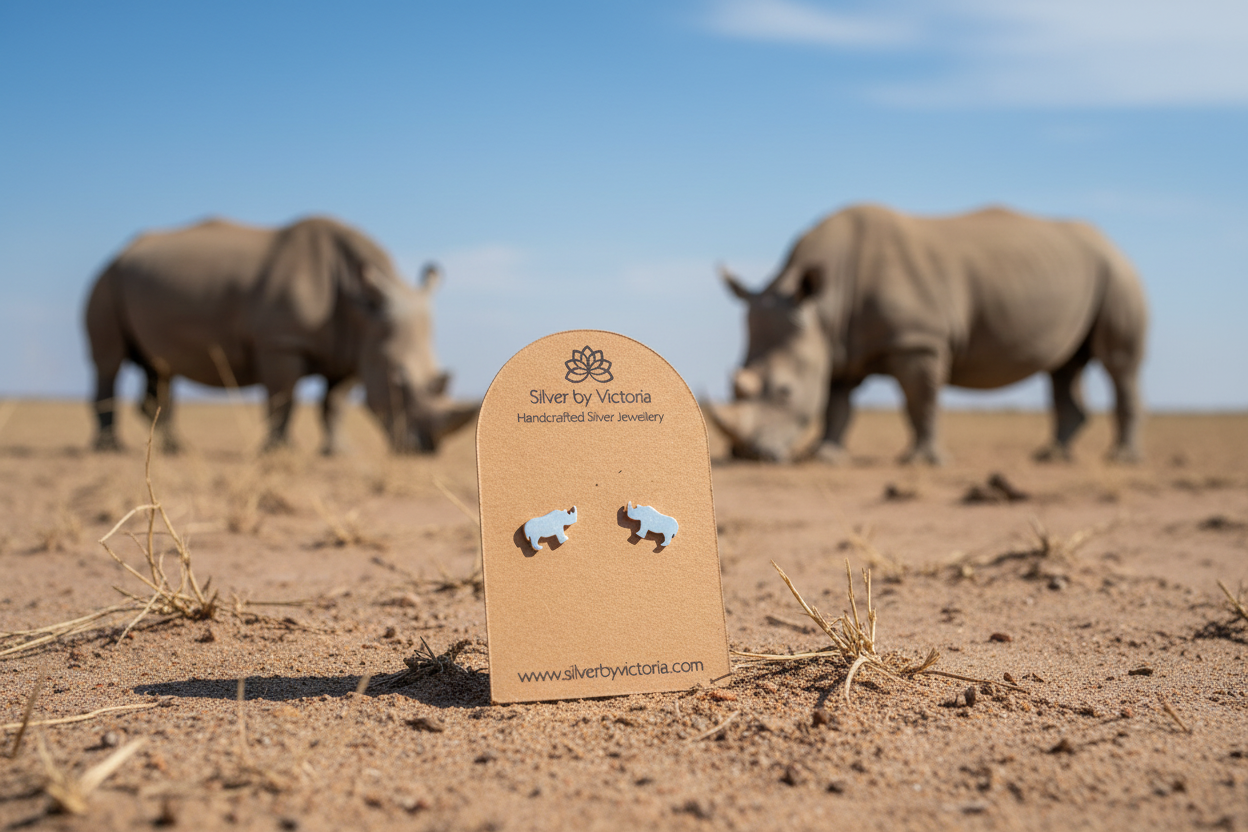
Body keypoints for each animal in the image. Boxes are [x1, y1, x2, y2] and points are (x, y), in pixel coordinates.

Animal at [84, 216, 478, 454]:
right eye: (398, 381)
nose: (426, 450)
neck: (361, 308)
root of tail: (120, 252)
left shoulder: (353, 351)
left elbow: (333, 404)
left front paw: (338, 452)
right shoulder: (281, 343)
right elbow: (283, 398)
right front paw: (280, 450)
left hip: (135, 281)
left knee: (159, 368)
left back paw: (175, 448)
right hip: (106, 280)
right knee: (108, 362)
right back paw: (110, 448)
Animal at [711, 204, 1148, 465]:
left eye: (784, 392)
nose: (746, 455)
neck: (823, 306)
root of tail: (1110, 242)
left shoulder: (917, 341)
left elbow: (919, 402)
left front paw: (920, 461)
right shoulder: (838, 348)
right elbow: (837, 405)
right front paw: (827, 456)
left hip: (1118, 273)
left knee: (1119, 364)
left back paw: (1120, 458)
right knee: (1064, 367)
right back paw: (1052, 456)